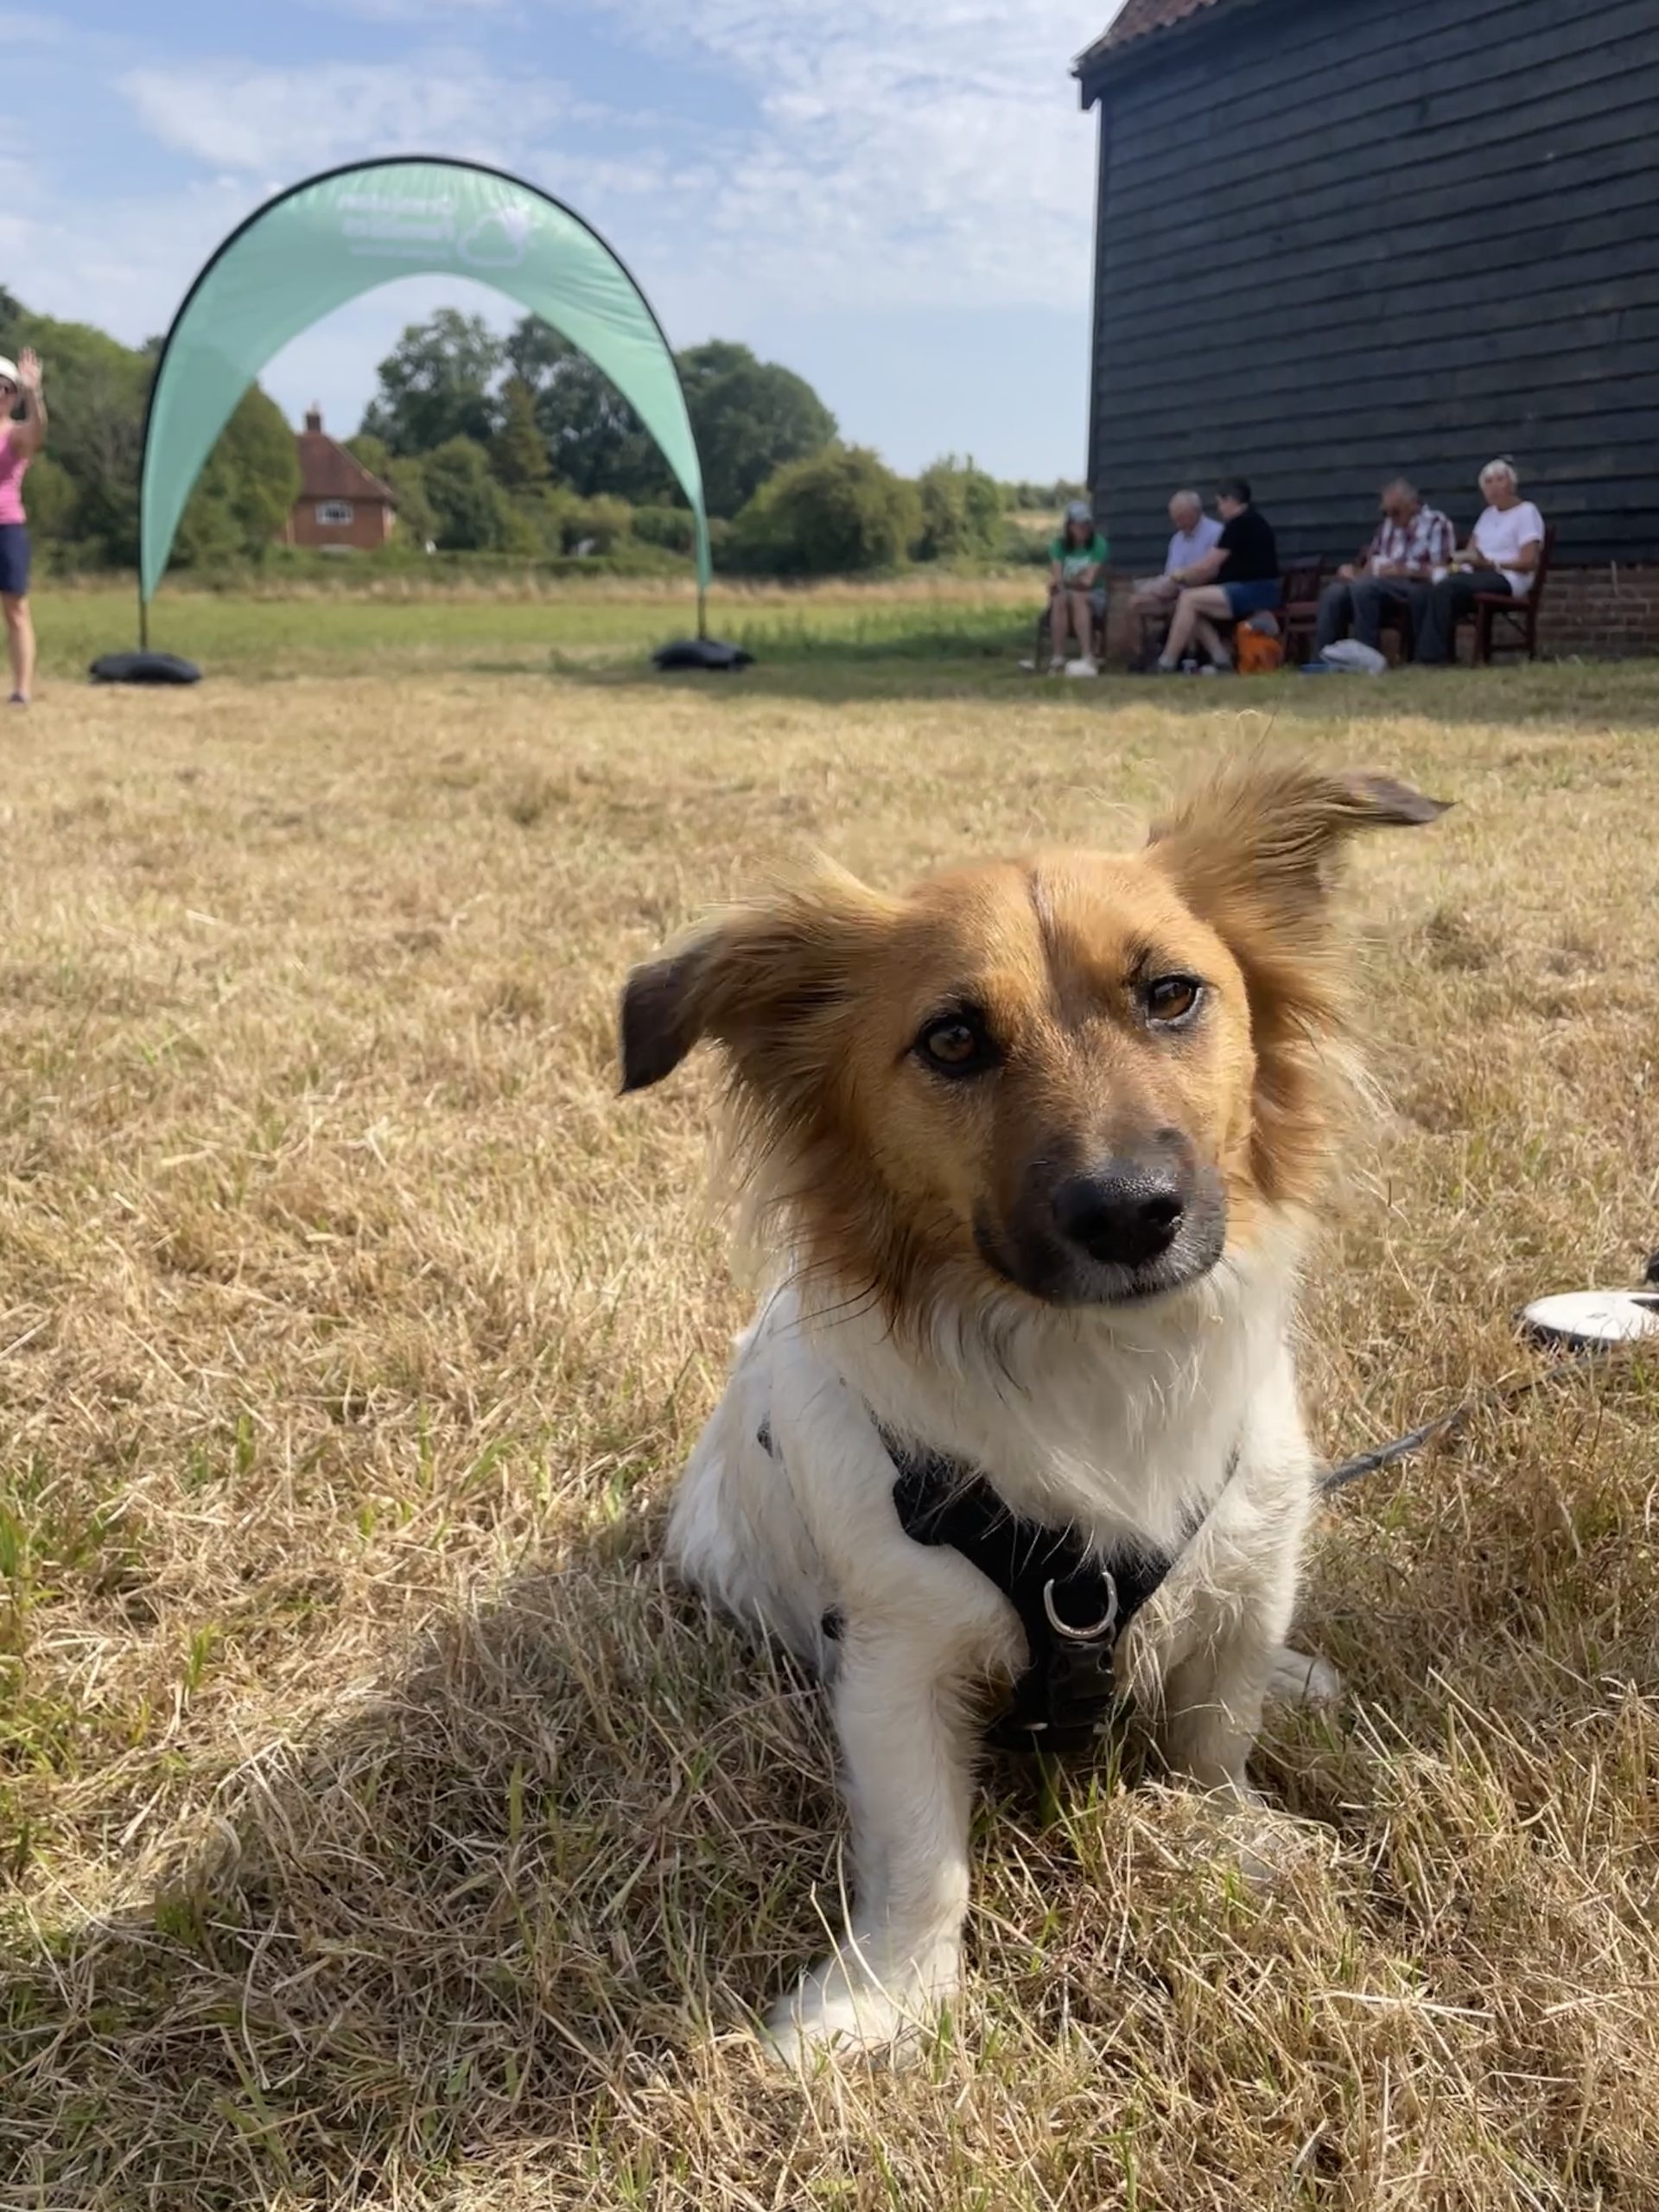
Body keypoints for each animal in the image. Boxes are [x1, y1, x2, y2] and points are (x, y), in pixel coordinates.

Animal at [619, 760, 1451, 2052]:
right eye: (954, 1039)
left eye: (1172, 994)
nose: (1131, 1212)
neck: (1096, 1365)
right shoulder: (898, 1651)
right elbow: (924, 1851)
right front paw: (886, 1996)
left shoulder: (1252, 1562)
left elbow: (1213, 1739)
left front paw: (1232, 1838)